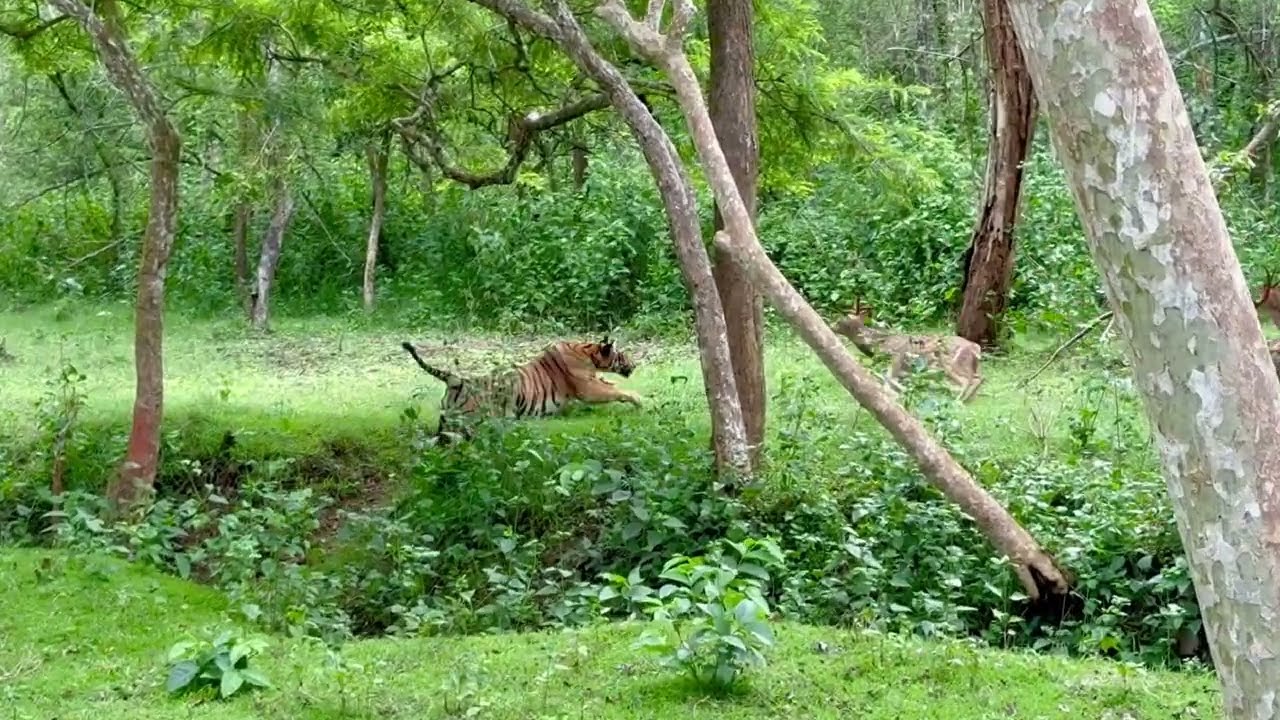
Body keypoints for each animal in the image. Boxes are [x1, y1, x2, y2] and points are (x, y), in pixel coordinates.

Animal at [400, 336, 642, 441]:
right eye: (623, 354)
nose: (635, 363)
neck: (586, 351)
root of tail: (456, 380)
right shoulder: (588, 388)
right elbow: (615, 391)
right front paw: (638, 399)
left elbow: (611, 385)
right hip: (473, 422)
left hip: (447, 421)